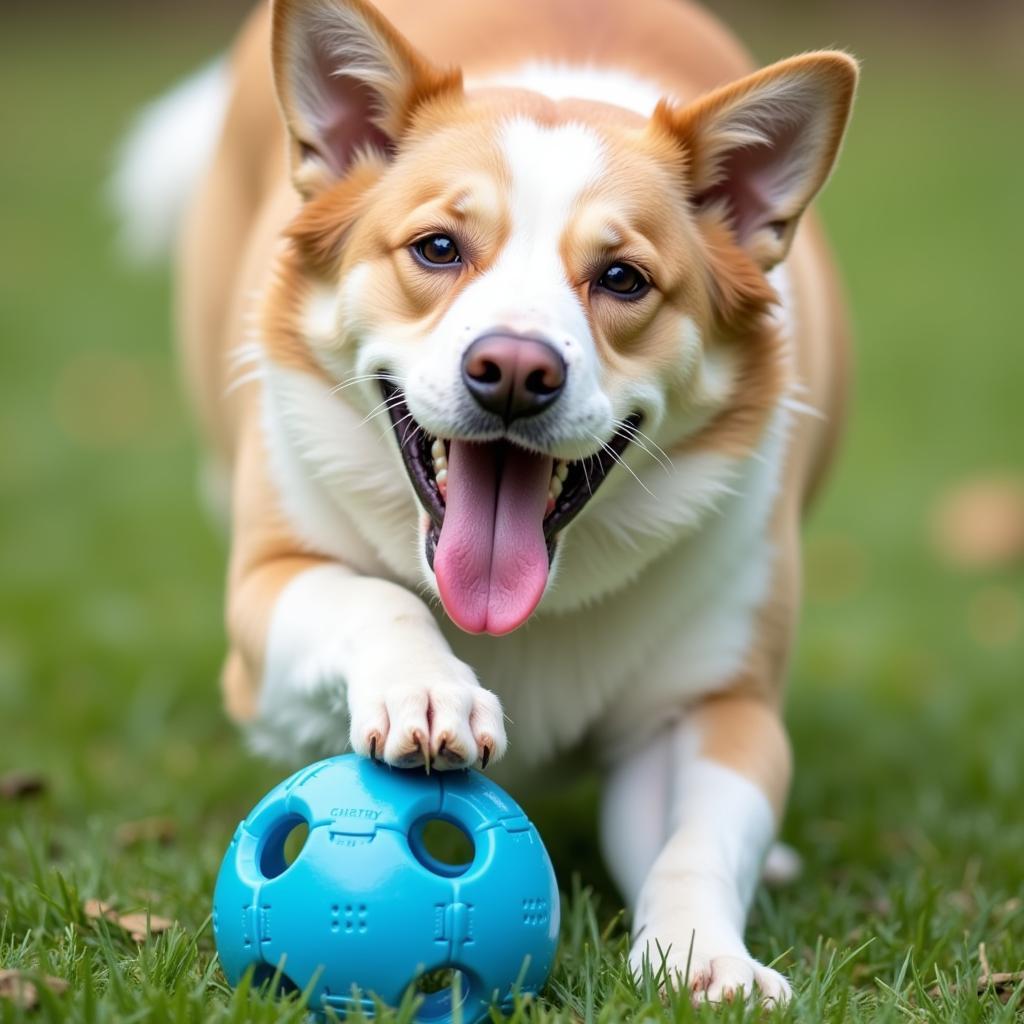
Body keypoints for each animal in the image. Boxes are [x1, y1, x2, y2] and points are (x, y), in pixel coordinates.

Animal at [117, 0, 856, 1007]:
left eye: (622, 278)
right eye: (439, 248)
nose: (513, 370)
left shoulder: (714, 704)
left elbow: (698, 837)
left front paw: (706, 955)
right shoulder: (265, 617)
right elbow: (368, 596)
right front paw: (428, 691)